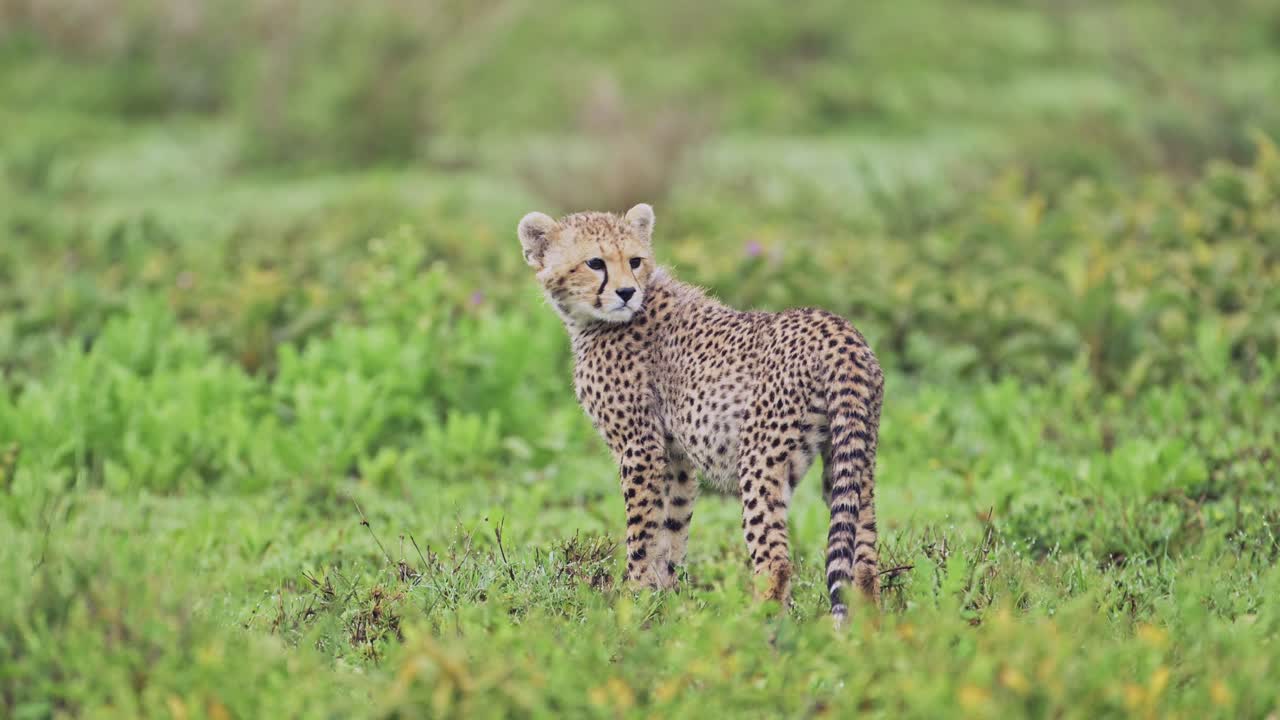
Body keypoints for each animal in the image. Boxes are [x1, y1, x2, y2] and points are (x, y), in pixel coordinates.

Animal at [517, 203, 884, 620]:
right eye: (595, 262)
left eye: (635, 261)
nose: (627, 292)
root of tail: (837, 328)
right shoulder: (675, 455)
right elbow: (671, 528)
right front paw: (667, 601)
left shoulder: (639, 448)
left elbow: (641, 533)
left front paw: (632, 600)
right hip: (852, 457)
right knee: (863, 562)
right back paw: (868, 626)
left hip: (760, 459)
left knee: (775, 560)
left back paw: (752, 623)